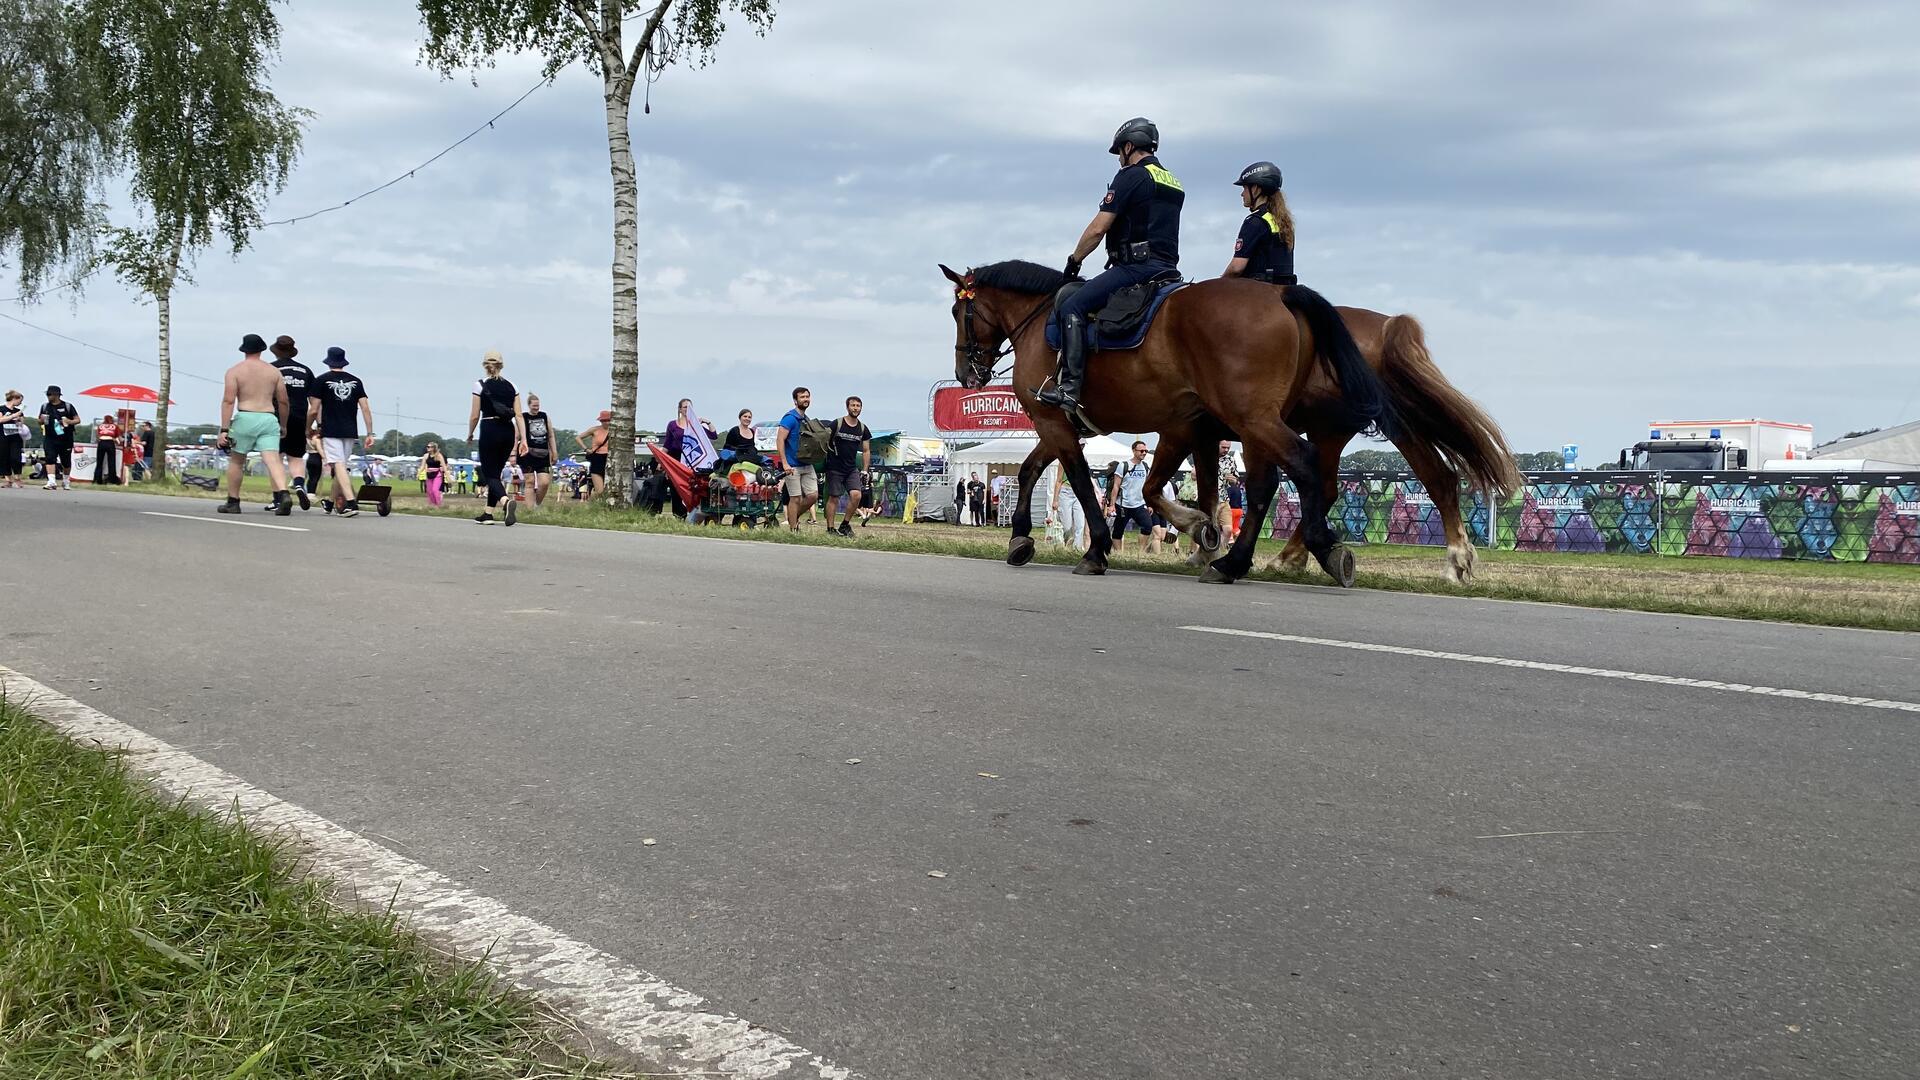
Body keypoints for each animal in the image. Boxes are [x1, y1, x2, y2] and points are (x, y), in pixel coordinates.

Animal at [940, 259, 1397, 580]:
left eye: (958, 313)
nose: (966, 374)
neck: (1039, 322)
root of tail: (1280, 295)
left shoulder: (1054, 420)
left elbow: (1086, 485)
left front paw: (1097, 549)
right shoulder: (1065, 426)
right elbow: (1032, 471)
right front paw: (1020, 536)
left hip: (1254, 420)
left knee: (1299, 465)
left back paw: (1308, 551)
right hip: (1258, 424)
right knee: (1270, 483)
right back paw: (1238, 561)